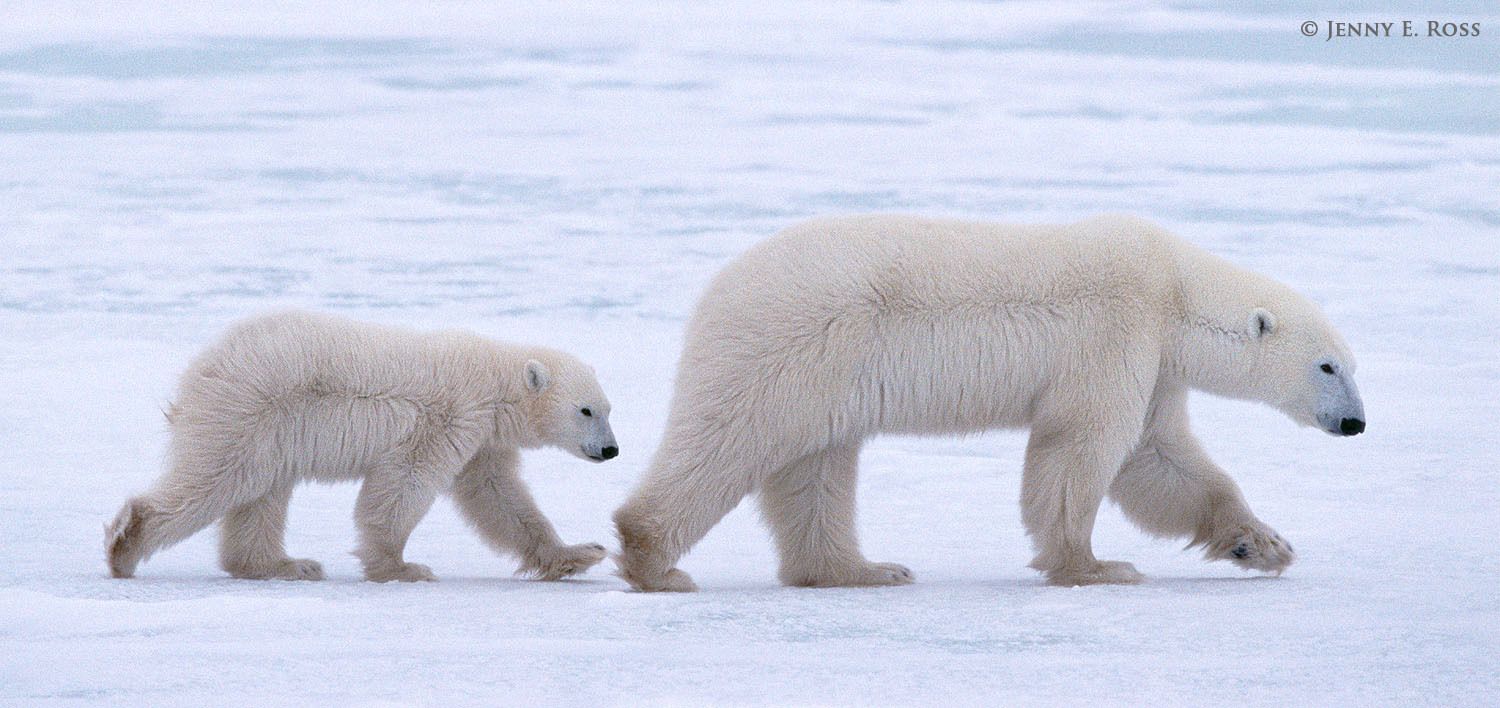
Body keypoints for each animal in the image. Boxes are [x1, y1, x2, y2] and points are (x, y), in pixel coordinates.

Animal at [106, 310, 619, 583]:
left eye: (609, 408)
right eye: (586, 410)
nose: (611, 451)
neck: (491, 383)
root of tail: (202, 365)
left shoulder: (482, 443)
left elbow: (500, 498)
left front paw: (579, 553)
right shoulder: (446, 419)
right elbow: (402, 486)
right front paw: (402, 567)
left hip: (269, 431)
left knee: (262, 494)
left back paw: (286, 564)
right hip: (248, 410)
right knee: (219, 478)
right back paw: (125, 545)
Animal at [614, 214, 1365, 591]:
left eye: (1353, 366)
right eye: (1327, 365)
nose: (1356, 422)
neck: (1173, 288)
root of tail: (717, 289)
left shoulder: (1155, 366)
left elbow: (1161, 460)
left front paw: (1263, 544)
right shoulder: (1115, 331)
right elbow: (1083, 448)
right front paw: (1097, 567)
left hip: (825, 378)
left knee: (816, 468)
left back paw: (863, 571)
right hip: (793, 344)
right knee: (728, 442)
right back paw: (656, 562)